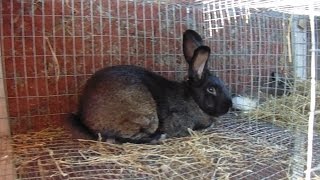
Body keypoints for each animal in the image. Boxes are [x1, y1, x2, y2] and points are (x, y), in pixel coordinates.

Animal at [72, 29, 232, 145]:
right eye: (211, 89)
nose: (229, 106)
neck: (193, 99)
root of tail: (84, 115)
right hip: (146, 117)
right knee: (121, 138)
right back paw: (158, 137)